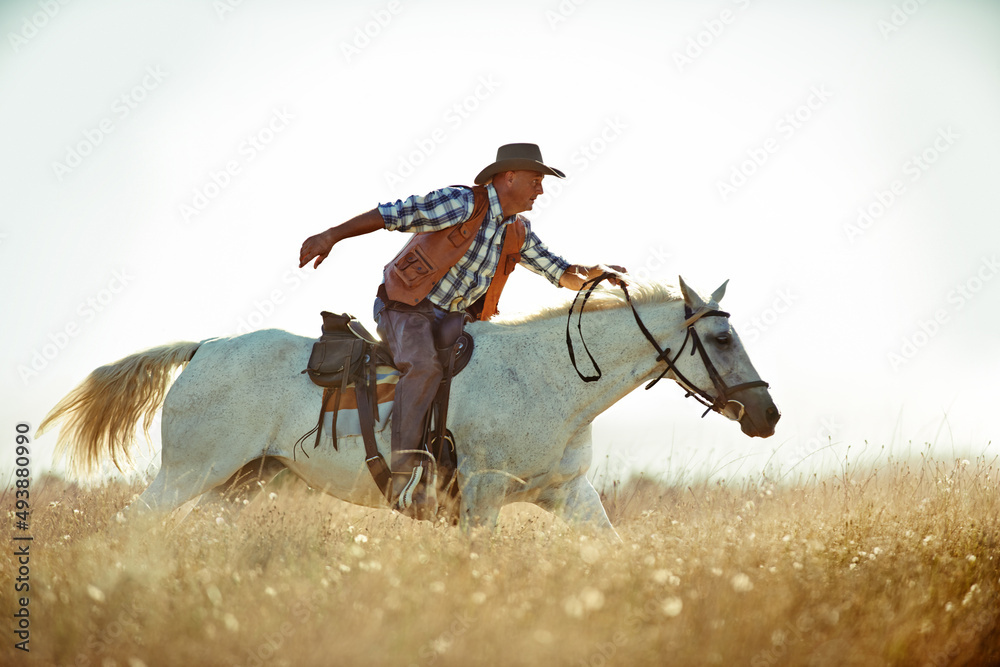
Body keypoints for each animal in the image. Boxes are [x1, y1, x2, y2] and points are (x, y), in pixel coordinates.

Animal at [41, 276, 780, 536]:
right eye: (721, 337)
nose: (767, 415)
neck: (551, 379)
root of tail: (202, 349)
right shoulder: (481, 495)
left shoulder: (568, 493)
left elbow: (612, 548)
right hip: (187, 474)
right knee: (131, 527)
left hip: (237, 486)